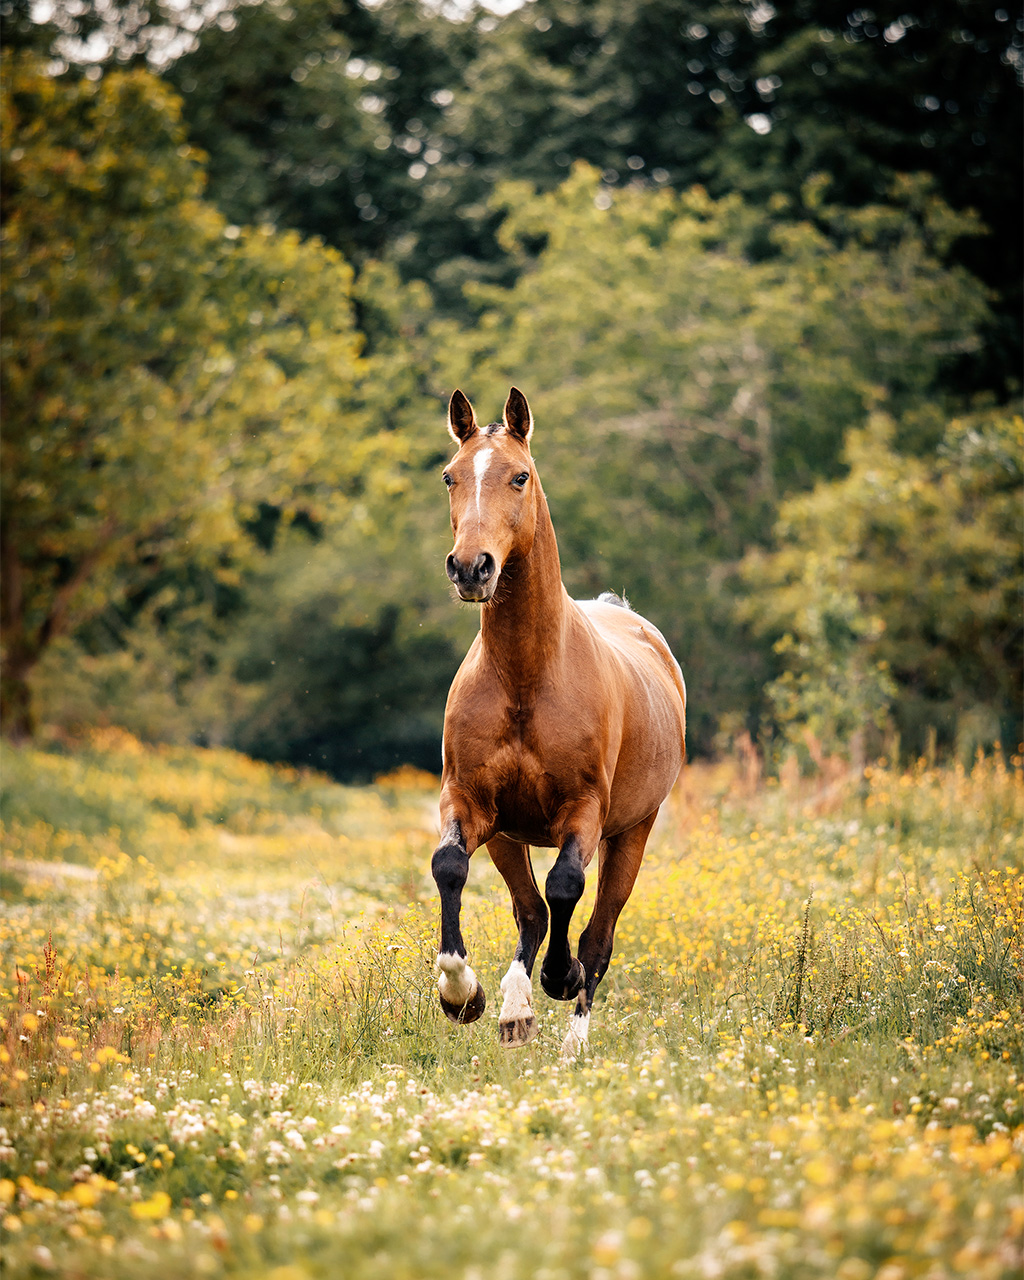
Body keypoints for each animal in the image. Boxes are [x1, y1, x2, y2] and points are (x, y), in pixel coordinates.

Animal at [427, 384, 686, 1054]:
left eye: (519, 476)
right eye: (450, 476)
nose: (471, 567)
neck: (526, 677)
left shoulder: (584, 811)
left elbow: (568, 887)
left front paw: (558, 977)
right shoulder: (470, 802)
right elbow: (450, 867)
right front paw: (462, 995)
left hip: (633, 831)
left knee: (598, 932)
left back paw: (572, 1039)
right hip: (509, 836)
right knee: (531, 912)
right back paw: (514, 1010)